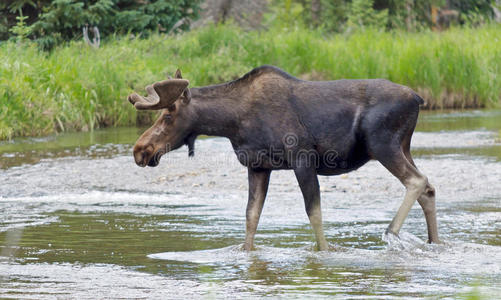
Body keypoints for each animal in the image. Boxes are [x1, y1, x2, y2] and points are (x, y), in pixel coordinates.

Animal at [129, 65, 438, 251]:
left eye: (168, 116)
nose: (139, 150)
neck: (231, 122)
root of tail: (418, 98)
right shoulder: (257, 166)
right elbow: (251, 216)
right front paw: (247, 253)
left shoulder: (302, 158)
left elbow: (314, 213)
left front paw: (324, 252)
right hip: (403, 146)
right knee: (429, 188)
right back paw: (433, 242)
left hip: (383, 144)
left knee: (417, 181)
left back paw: (391, 232)